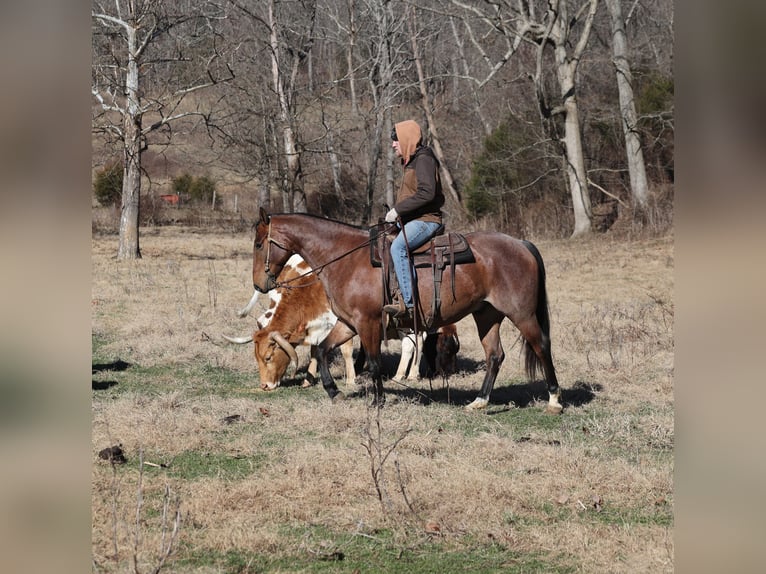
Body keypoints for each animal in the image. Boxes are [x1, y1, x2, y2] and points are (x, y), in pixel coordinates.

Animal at [251, 208, 563, 414]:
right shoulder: (348, 323)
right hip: (487, 315)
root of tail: (521, 244)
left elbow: (374, 362)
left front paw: (377, 401)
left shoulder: (368, 323)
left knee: (541, 346)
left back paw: (554, 400)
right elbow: (321, 349)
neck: (345, 258)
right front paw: (333, 391)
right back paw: (480, 401)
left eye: (258, 243)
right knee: (495, 355)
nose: (259, 283)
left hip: (522, 314)